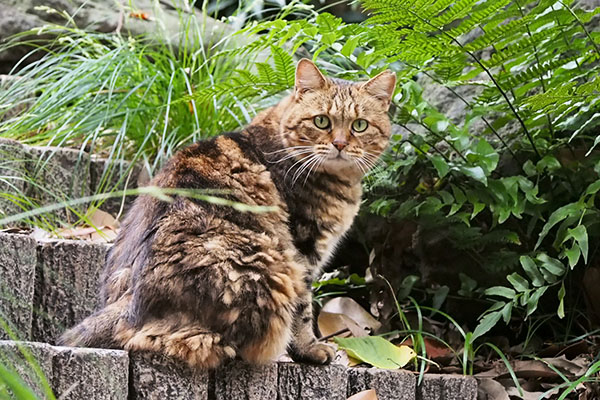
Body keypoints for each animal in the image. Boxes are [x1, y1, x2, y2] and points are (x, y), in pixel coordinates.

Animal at [58, 59, 396, 368]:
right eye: (322, 121)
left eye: (360, 125)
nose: (339, 144)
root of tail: (129, 307)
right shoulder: (303, 250)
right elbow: (303, 311)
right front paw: (310, 350)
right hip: (268, 265)